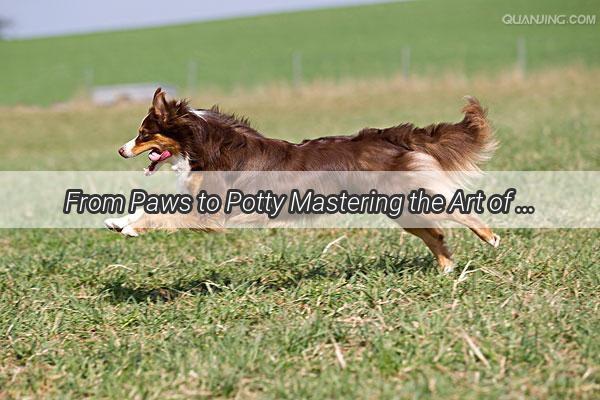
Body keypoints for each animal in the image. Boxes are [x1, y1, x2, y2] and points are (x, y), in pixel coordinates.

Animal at [105, 88, 500, 274]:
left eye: (143, 134)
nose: (121, 150)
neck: (201, 142)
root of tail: (391, 136)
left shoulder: (210, 212)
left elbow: (162, 214)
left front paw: (132, 228)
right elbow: (153, 205)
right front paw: (118, 221)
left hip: (406, 195)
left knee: (455, 211)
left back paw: (490, 237)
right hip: (399, 208)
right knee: (434, 233)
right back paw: (447, 270)